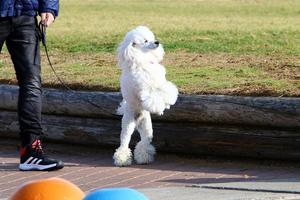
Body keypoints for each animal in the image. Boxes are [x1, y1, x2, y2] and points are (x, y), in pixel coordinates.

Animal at [112, 26, 178, 167]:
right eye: (145, 41)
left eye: (152, 38)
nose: (157, 42)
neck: (142, 61)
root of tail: (138, 118)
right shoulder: (145, 90)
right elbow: (153, 98)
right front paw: (160, 107)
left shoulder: (159, 83)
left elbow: (165, 90)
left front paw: (168, 100)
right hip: (128, 125)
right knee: (124, 142)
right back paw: (122, 160)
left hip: (147, 127)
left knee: (145, 141)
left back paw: (144, 157)